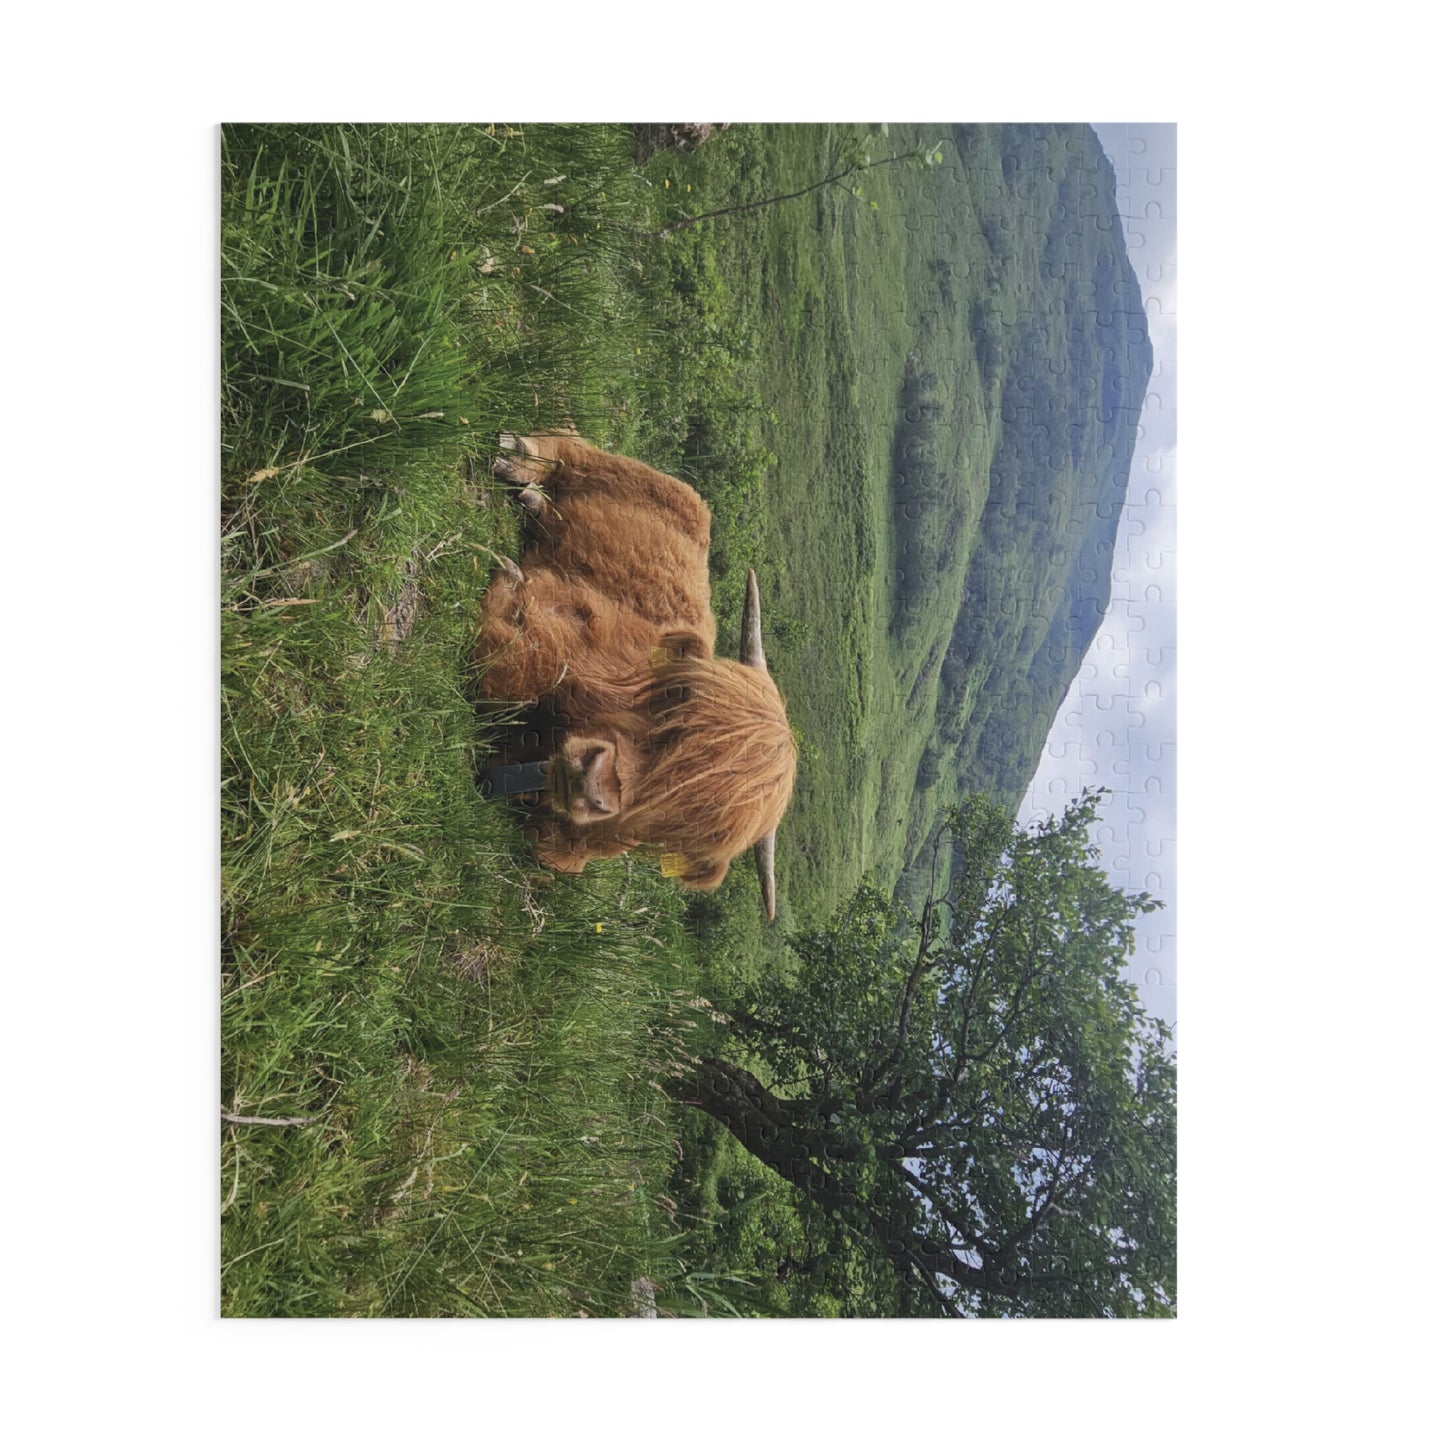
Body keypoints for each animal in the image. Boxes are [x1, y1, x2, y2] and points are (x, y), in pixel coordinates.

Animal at [475, 431, 795, 918]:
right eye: (680, 696)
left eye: (684, 821)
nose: (591, 782)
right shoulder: (567, 626)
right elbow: (514, 660)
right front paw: (509, 586)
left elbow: (551, 856)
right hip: (632, 475)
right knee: (572, 449)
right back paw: (519, 457)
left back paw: (534, 501)